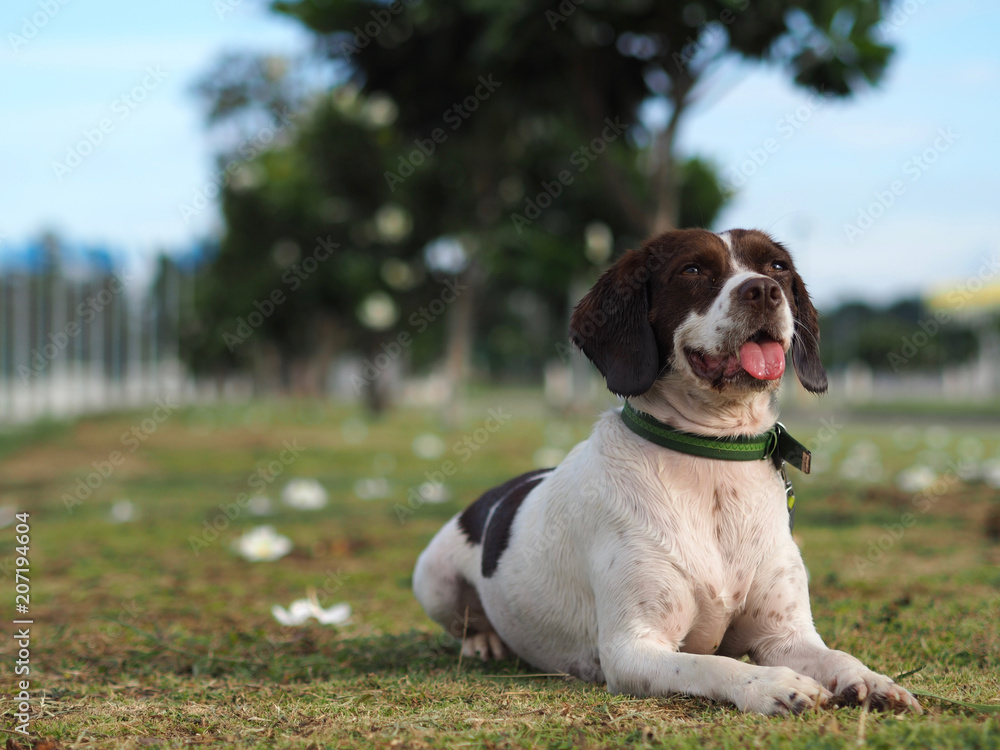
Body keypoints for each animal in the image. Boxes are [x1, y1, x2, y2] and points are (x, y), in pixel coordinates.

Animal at [412, 228, 920, 716]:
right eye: (692, 269)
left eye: (777, 266)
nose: (763, 290)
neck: (712, 457)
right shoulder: (632, 650)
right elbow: (713, 664)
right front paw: (774, 685)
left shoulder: (785, 635)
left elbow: (838, 657)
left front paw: (876, 682)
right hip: (433, 580)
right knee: (466, 622)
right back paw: (483, 640)